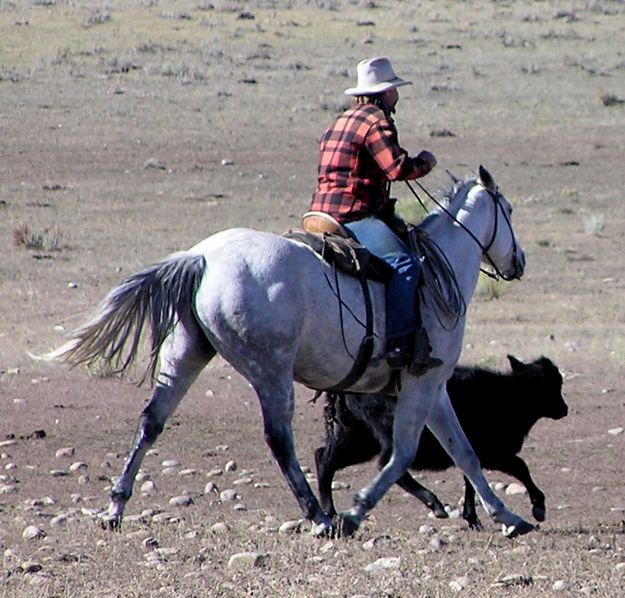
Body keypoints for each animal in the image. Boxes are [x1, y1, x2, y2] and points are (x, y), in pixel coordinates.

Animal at [37, 168, 528, 540]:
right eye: (507, 210)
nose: (519, 260)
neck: (437, 269)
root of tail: (202, 258)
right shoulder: (420, 383)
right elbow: (405, 453)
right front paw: (356, 511)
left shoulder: (435, 387)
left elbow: (464, 451)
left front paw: (507, 516)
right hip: (270, 371)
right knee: (279, 438)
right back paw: (320, 516)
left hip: (187, 354)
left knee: (151, 421)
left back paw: (116, 507)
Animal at [314, 356, 568, 528]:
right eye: (553, 385)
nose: (564, 410)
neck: (512, 395)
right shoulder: (494, 453)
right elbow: (520, 467)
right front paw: (538, 506)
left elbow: (470, 480)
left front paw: (472, 518)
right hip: (386, 433)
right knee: (388, 464)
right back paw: (434, 504)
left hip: (357, 436)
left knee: (324, 457)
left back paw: (330, 511)